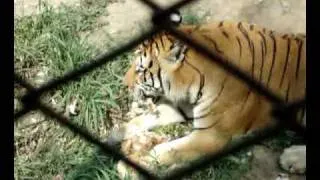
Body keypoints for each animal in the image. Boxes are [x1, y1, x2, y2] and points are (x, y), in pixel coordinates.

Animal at [109, 11, 306, 179]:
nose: (124, 84)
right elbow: (142, 119)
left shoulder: (211, 135)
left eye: (140, 70)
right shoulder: (185, 106)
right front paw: (111, 136)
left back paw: (292, 157)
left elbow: (166, 150)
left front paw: (129, 167)